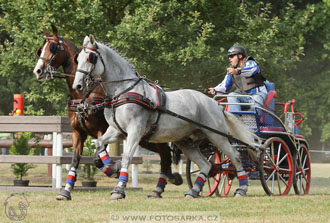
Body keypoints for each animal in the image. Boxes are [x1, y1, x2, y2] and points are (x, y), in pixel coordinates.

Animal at [33, 25, 182, 199]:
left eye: (53, 47)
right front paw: (66, 191)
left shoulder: (101, 129)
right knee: (165, 156)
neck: (85, 95)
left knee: (165, 155)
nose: (38, 71)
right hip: (147, 139)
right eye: (40, 49)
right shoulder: (78, 132)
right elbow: (75, 160)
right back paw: (166, 183)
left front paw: (114, 169)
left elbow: (98, 157)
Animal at [73, 35, 255, 200]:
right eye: (77, 59)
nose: (78, 86)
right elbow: (99, 143)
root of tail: (215, 104)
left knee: (235, 156)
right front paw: (110, 167)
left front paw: (118, 189)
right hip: (186, 142)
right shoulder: (117, 131)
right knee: (206, 164)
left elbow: (126, 157)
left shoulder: (135, 131)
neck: (125, 90)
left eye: (91, 58)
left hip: (217, 136)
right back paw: (194, 191)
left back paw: (242, 189)